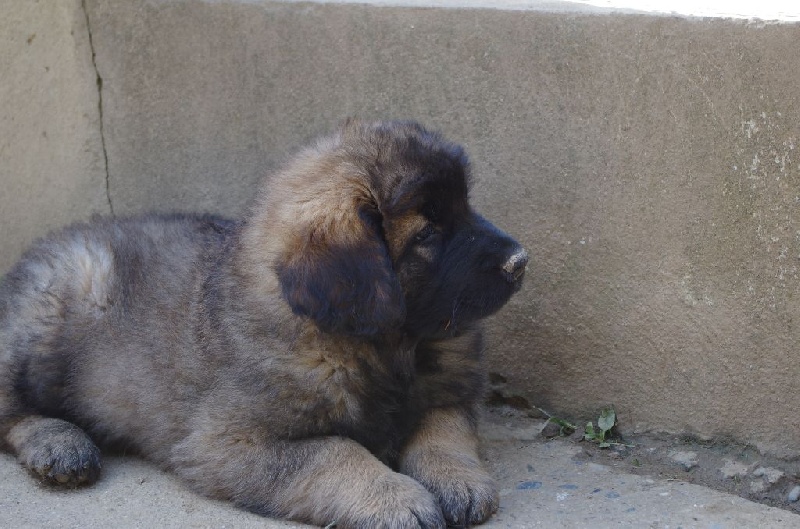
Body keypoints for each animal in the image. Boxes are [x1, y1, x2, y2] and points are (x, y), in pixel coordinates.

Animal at [0, 120, 528, 528]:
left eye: (466, 207)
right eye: (428, 232)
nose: (520, 260)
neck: (379, 346)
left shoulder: (449, 391)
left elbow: (443, 428)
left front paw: (456, 478)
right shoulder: (227, 443)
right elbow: (333, 451)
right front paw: (393, 498)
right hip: (52, 319)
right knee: (10, 408)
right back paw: (60, 444)